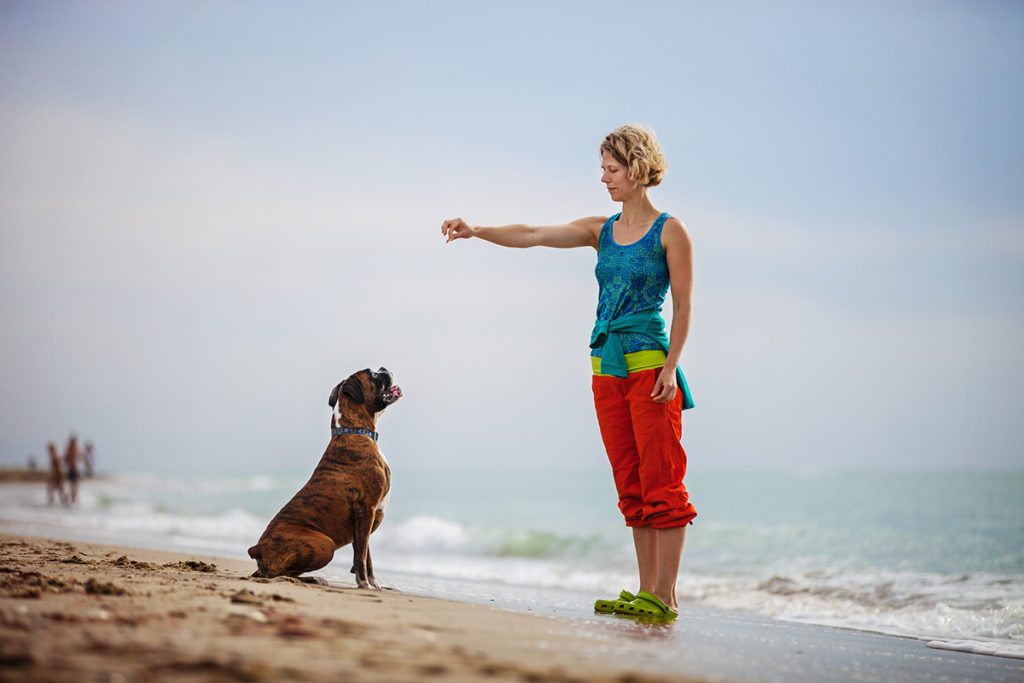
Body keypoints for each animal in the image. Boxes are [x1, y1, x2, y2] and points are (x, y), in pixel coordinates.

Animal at [247, 368, 403, 589]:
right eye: (373, 375)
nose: (383, 368)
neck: (354, 430)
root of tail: (258, 547)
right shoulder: (366, 510)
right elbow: (361, 556)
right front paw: (364, 584)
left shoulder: (364, 521)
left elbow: (365, 555)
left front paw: (375, 586)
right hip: (325, 544)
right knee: (276, 574)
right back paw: (312, 579)